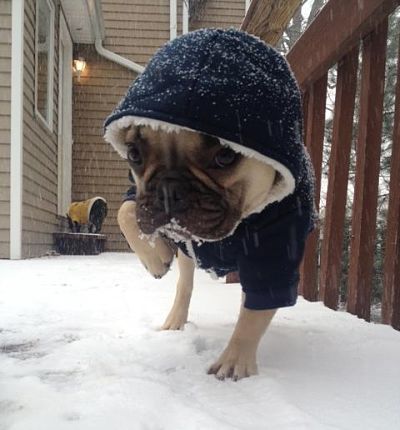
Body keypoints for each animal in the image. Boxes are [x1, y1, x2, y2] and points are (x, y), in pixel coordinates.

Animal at [103, 29, 316, 380]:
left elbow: (257, 308)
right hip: (187, 256)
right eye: (134, 154)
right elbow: (126, 211)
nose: (168, 190)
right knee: (185, 282)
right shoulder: (139, 197)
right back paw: (174, 314)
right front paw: (155, 259)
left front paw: (234, 362)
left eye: (226, 156)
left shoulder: (278, 240)